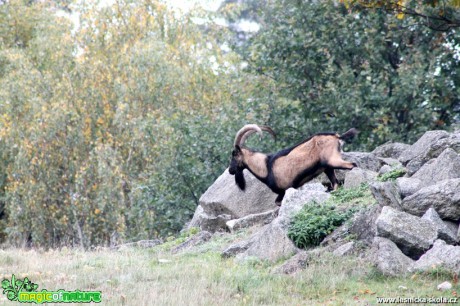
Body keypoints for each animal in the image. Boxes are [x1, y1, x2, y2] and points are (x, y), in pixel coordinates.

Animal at [228, 123, 358, 206]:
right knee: (336, 183)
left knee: (352, 165)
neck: (266, 167)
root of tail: (337, 137)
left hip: (333, 160)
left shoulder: (285, 189)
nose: (230, 170)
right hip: (327, 168)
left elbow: (278, 202)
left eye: (234, 155)